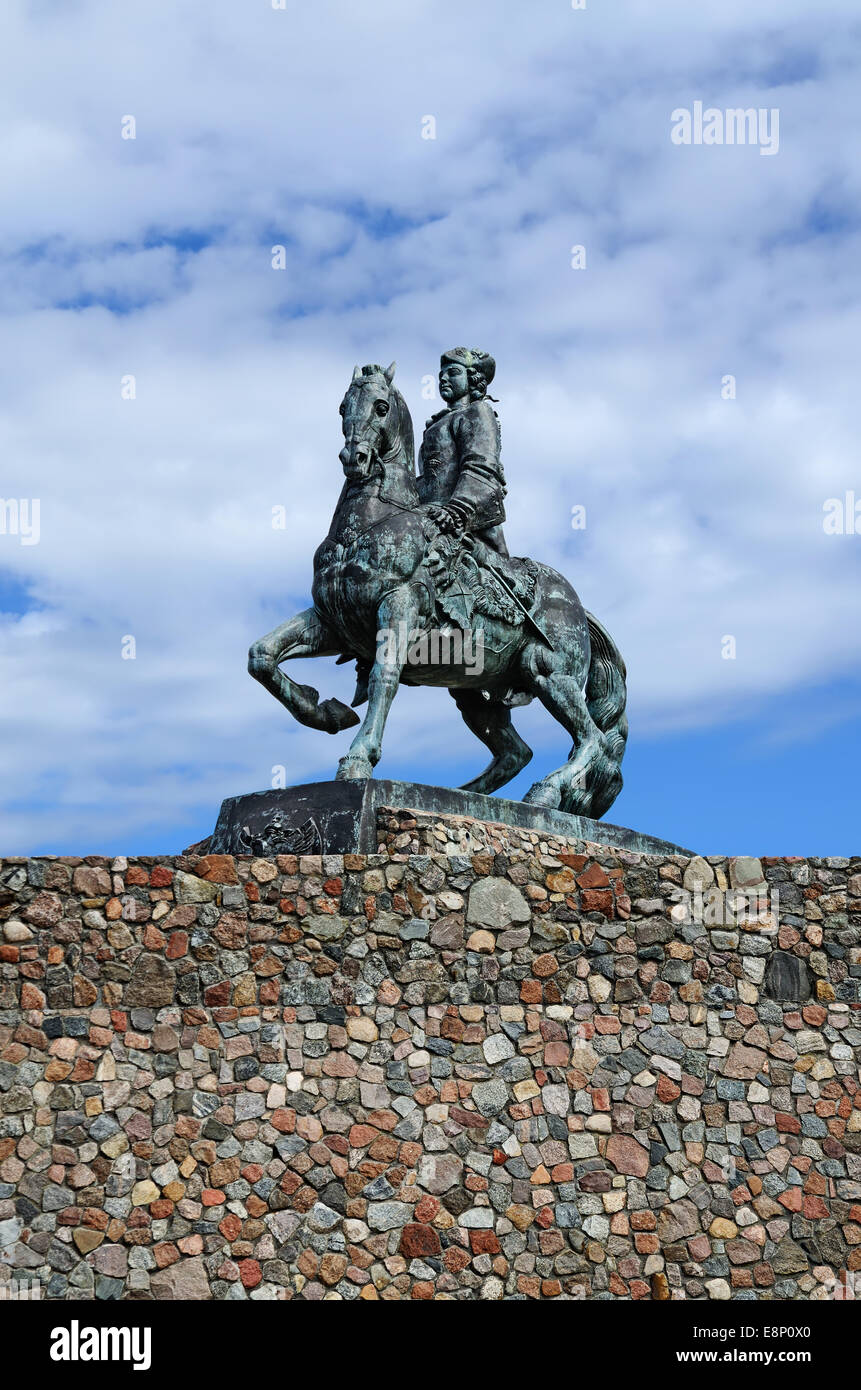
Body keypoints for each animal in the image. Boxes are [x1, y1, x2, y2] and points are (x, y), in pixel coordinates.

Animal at [246, 358, 628, 817]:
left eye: (380, 406)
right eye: (341, 407)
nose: (354, 458)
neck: (366, 525)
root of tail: (577, 607)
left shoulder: (399, 605)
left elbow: (384, 676)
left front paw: (358, 758)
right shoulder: (332, 621)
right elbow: (262, 656)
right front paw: (324, 712)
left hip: (548, 670)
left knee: (592, 738)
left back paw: (546, 792)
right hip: (473, 689)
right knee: (515, 751)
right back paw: (464, 797)